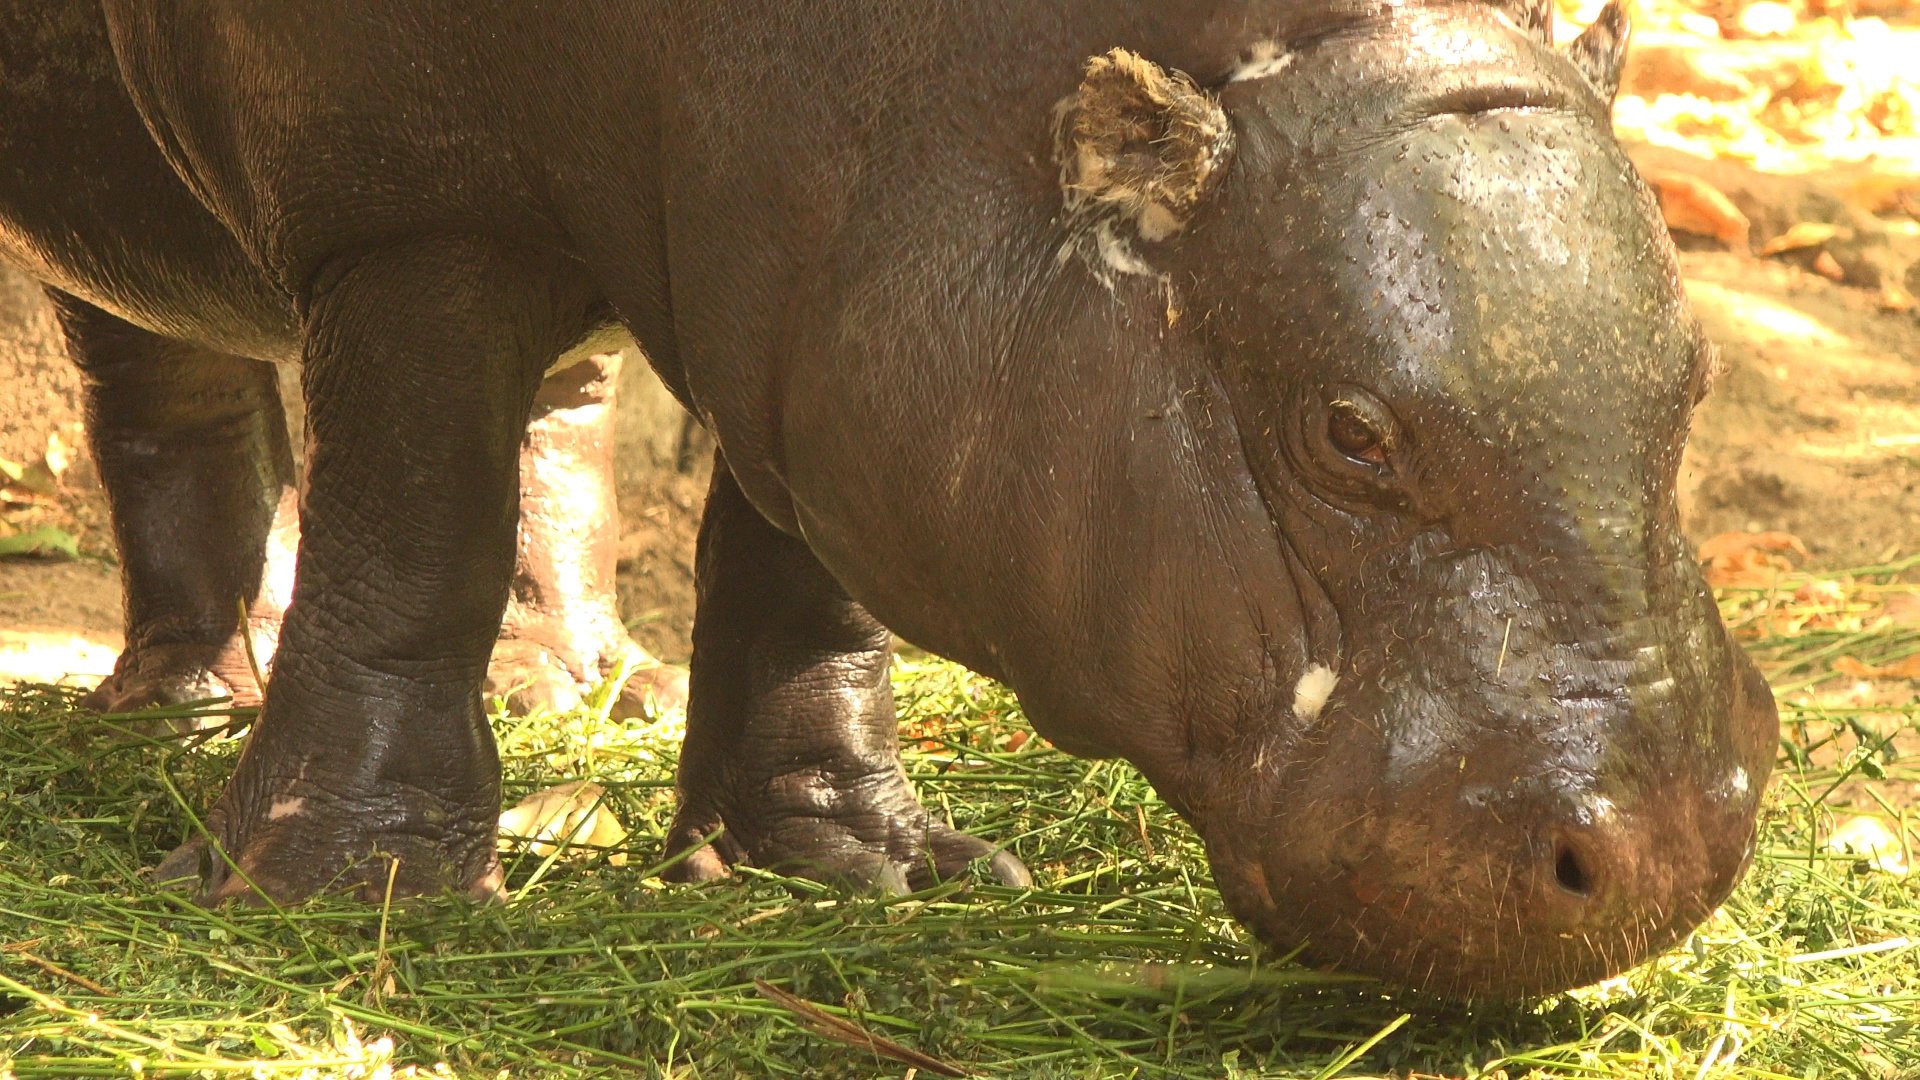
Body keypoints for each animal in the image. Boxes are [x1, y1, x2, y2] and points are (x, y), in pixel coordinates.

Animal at [0, 0, 1777, 998]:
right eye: (1348, 432)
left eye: (1696, 369)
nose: (1673, 847)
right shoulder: (413, 216)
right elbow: (408, 534)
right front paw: (346, 894)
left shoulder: (820, 299)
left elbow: (803, 583)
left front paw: (869, 869)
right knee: (162, 383)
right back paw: (175, 716)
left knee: (548, 418)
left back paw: (576, 686)